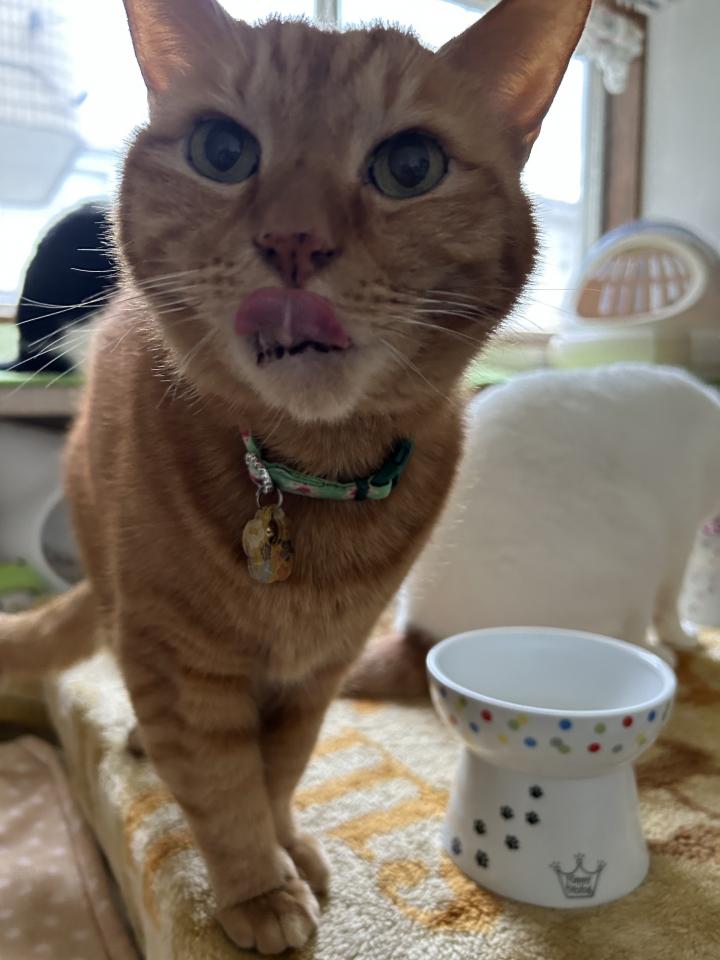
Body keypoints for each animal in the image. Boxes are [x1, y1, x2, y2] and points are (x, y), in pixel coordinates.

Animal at [344, 364, 719, 700]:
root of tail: (418, 632)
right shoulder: (679, 538)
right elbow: (669, 607)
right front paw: (686, 639)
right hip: (640, 545)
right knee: (632, 631)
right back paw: (661, 654)